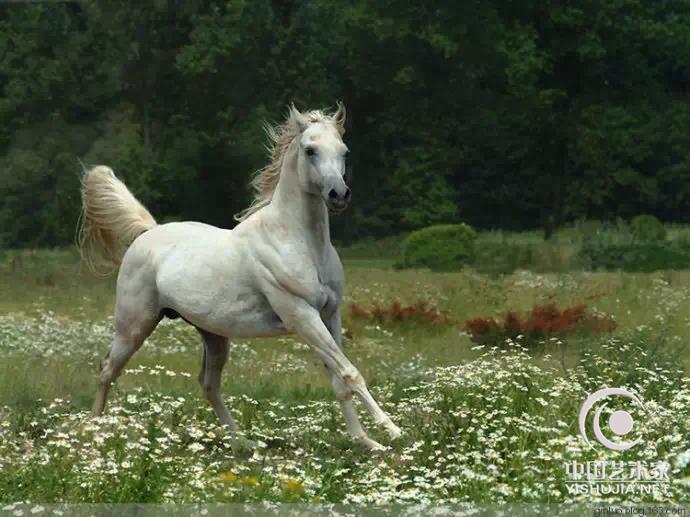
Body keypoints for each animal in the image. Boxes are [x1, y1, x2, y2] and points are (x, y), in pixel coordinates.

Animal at [79, 105, 404, 452]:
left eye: (344, 151)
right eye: (310, 150)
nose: (339, 194)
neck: (297, 241)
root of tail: (147, 233)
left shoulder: (330, 315)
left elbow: (339, 379)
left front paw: (367, 441)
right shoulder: (302, 316)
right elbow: (349, 372)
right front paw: (392, 430)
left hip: (213, 334)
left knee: (209, 385)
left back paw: (243, 444)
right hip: (134, 326)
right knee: (107, 370)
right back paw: (92, 432)